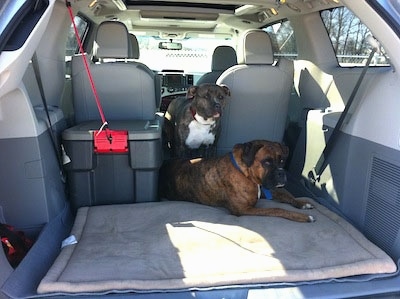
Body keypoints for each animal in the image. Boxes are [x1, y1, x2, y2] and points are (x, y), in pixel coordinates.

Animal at [159, 140, 316, 223]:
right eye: (267, 162)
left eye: (282, 160)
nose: (281, 173)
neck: (245, 172)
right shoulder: (245, 209)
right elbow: (277, 209)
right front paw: (303, 217)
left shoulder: (263, 190)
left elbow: (285, 195)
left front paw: (302, 203)